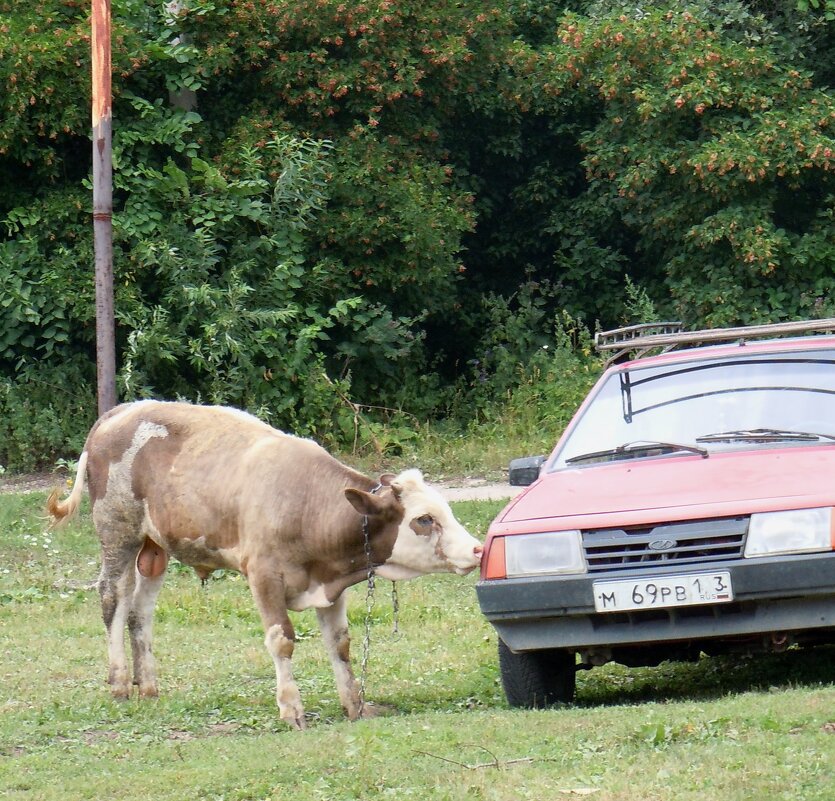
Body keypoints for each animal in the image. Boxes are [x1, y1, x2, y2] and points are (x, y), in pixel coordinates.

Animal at [49, 398, 484, 724]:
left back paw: (149, 685)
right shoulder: (263, 575)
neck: (306, 502)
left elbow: (340, 643)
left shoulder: (332, 582)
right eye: (424, 519)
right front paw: (291, 708)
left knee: (141, 611)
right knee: (113, 599)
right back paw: (120, 682)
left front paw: (354, 704)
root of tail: (120, 411)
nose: (478, 549)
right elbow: (282, 639)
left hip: (155, 549)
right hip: (117, 533)